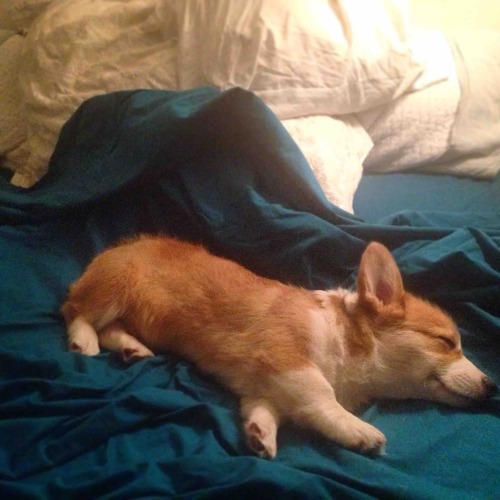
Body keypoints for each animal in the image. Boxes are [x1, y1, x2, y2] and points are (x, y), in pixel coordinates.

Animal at [61, 236, 496, 458]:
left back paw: (131, 348)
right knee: (78, 312)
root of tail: (117, 246)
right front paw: (359, 431)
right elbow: (321, 395)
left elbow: (265, 412)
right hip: (116, 287)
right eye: (446, 342)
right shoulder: (288, 359)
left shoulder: (263, 390)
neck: (346, 344)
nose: (493, 387)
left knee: (111, 328)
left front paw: (260, 436)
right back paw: (82, 340)